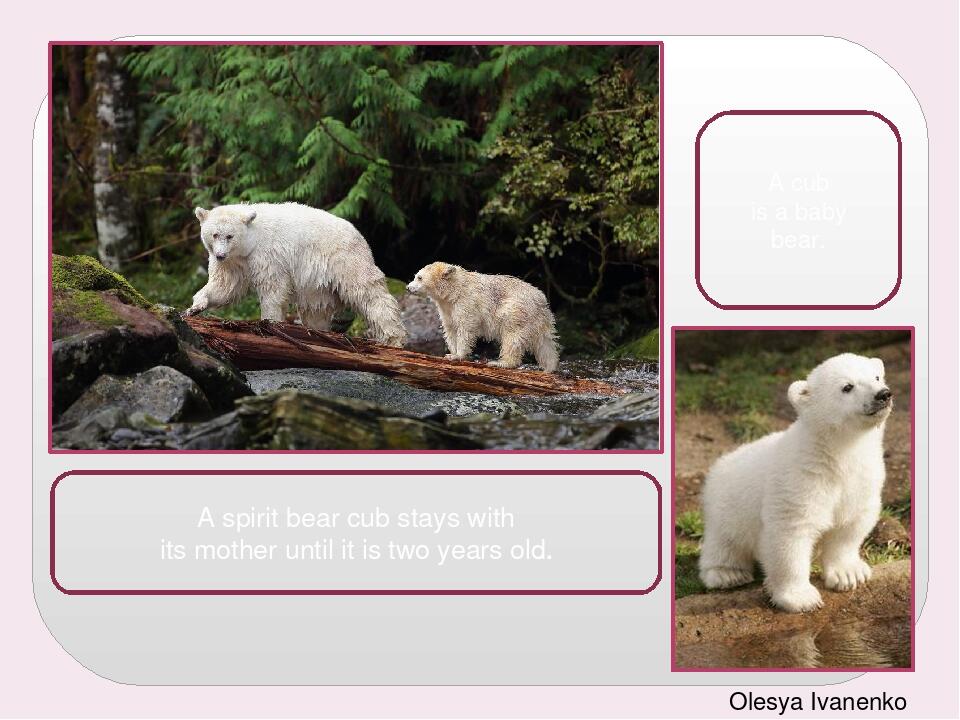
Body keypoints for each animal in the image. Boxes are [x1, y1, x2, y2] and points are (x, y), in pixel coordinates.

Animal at [185, 202, 407, 347]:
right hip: (318, 284)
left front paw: (269, 323)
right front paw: (196, 306)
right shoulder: (236, 263)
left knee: (368, 293)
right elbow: (225, 286)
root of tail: (359, 235)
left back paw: (393, 338)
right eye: (214, 234)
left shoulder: (268, 255)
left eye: (230, 236)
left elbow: (273, 290)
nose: (220, 255)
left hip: (344, 260)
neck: (252, 240)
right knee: (316, 310)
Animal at [406, 262, 560, 372]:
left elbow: (465, 328)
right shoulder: (447, 308)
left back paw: (501, 363)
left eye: (419, 277)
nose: (408, 287)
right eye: (415, 275)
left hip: (516, 311)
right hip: (539, 320)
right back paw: (549, 367)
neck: (454, 290)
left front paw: (457, 355)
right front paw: (451, 353)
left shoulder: (466, 302)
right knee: (545, 343)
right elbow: (450, 328)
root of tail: (541, 300)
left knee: (512, 337)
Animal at [697, 353, 893, 613]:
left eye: (877, 376)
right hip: (727, 505)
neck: (835, 453)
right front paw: (801, 598)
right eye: (847, 387)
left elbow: (850, 524)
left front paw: (849, 574)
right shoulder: (800, 479)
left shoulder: (861, 479)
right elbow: (792, 531)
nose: (883, 394)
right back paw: (726, 574)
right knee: (724, 541)